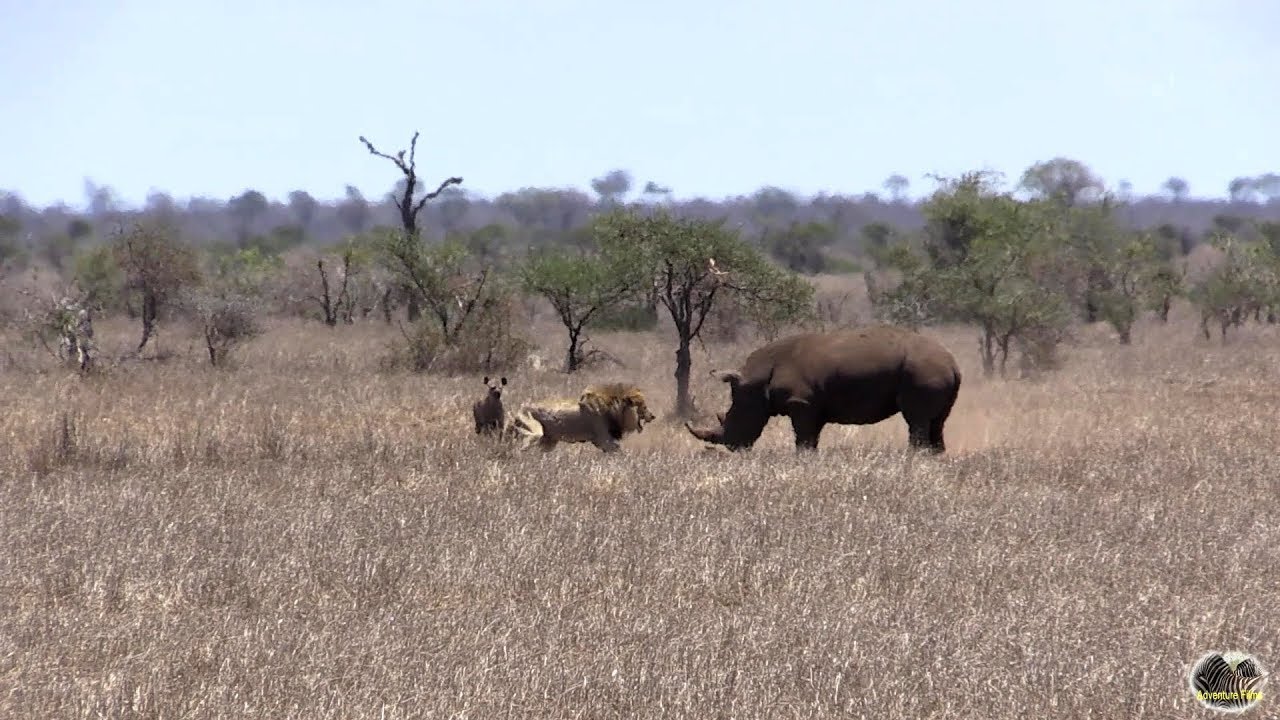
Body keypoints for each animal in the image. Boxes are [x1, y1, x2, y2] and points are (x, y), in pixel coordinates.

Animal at [508, 382, 657, 453]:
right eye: (643, 406)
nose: (653, 416)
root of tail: (519, 409)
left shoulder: (602, 441)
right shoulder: (604, 439)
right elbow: (619, 452)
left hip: (549, 441)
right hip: (535, 433)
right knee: (522, 449)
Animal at [685, 325, 962, 453]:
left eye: (732, 417)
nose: (733, 448)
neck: (757, 379)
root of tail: (953, 364)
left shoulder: (801, 403)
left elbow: (804, 440)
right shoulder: (812, 406)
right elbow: (811, 438)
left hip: (923, 373)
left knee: (917, 420)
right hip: (934, 372)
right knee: (937, 422)